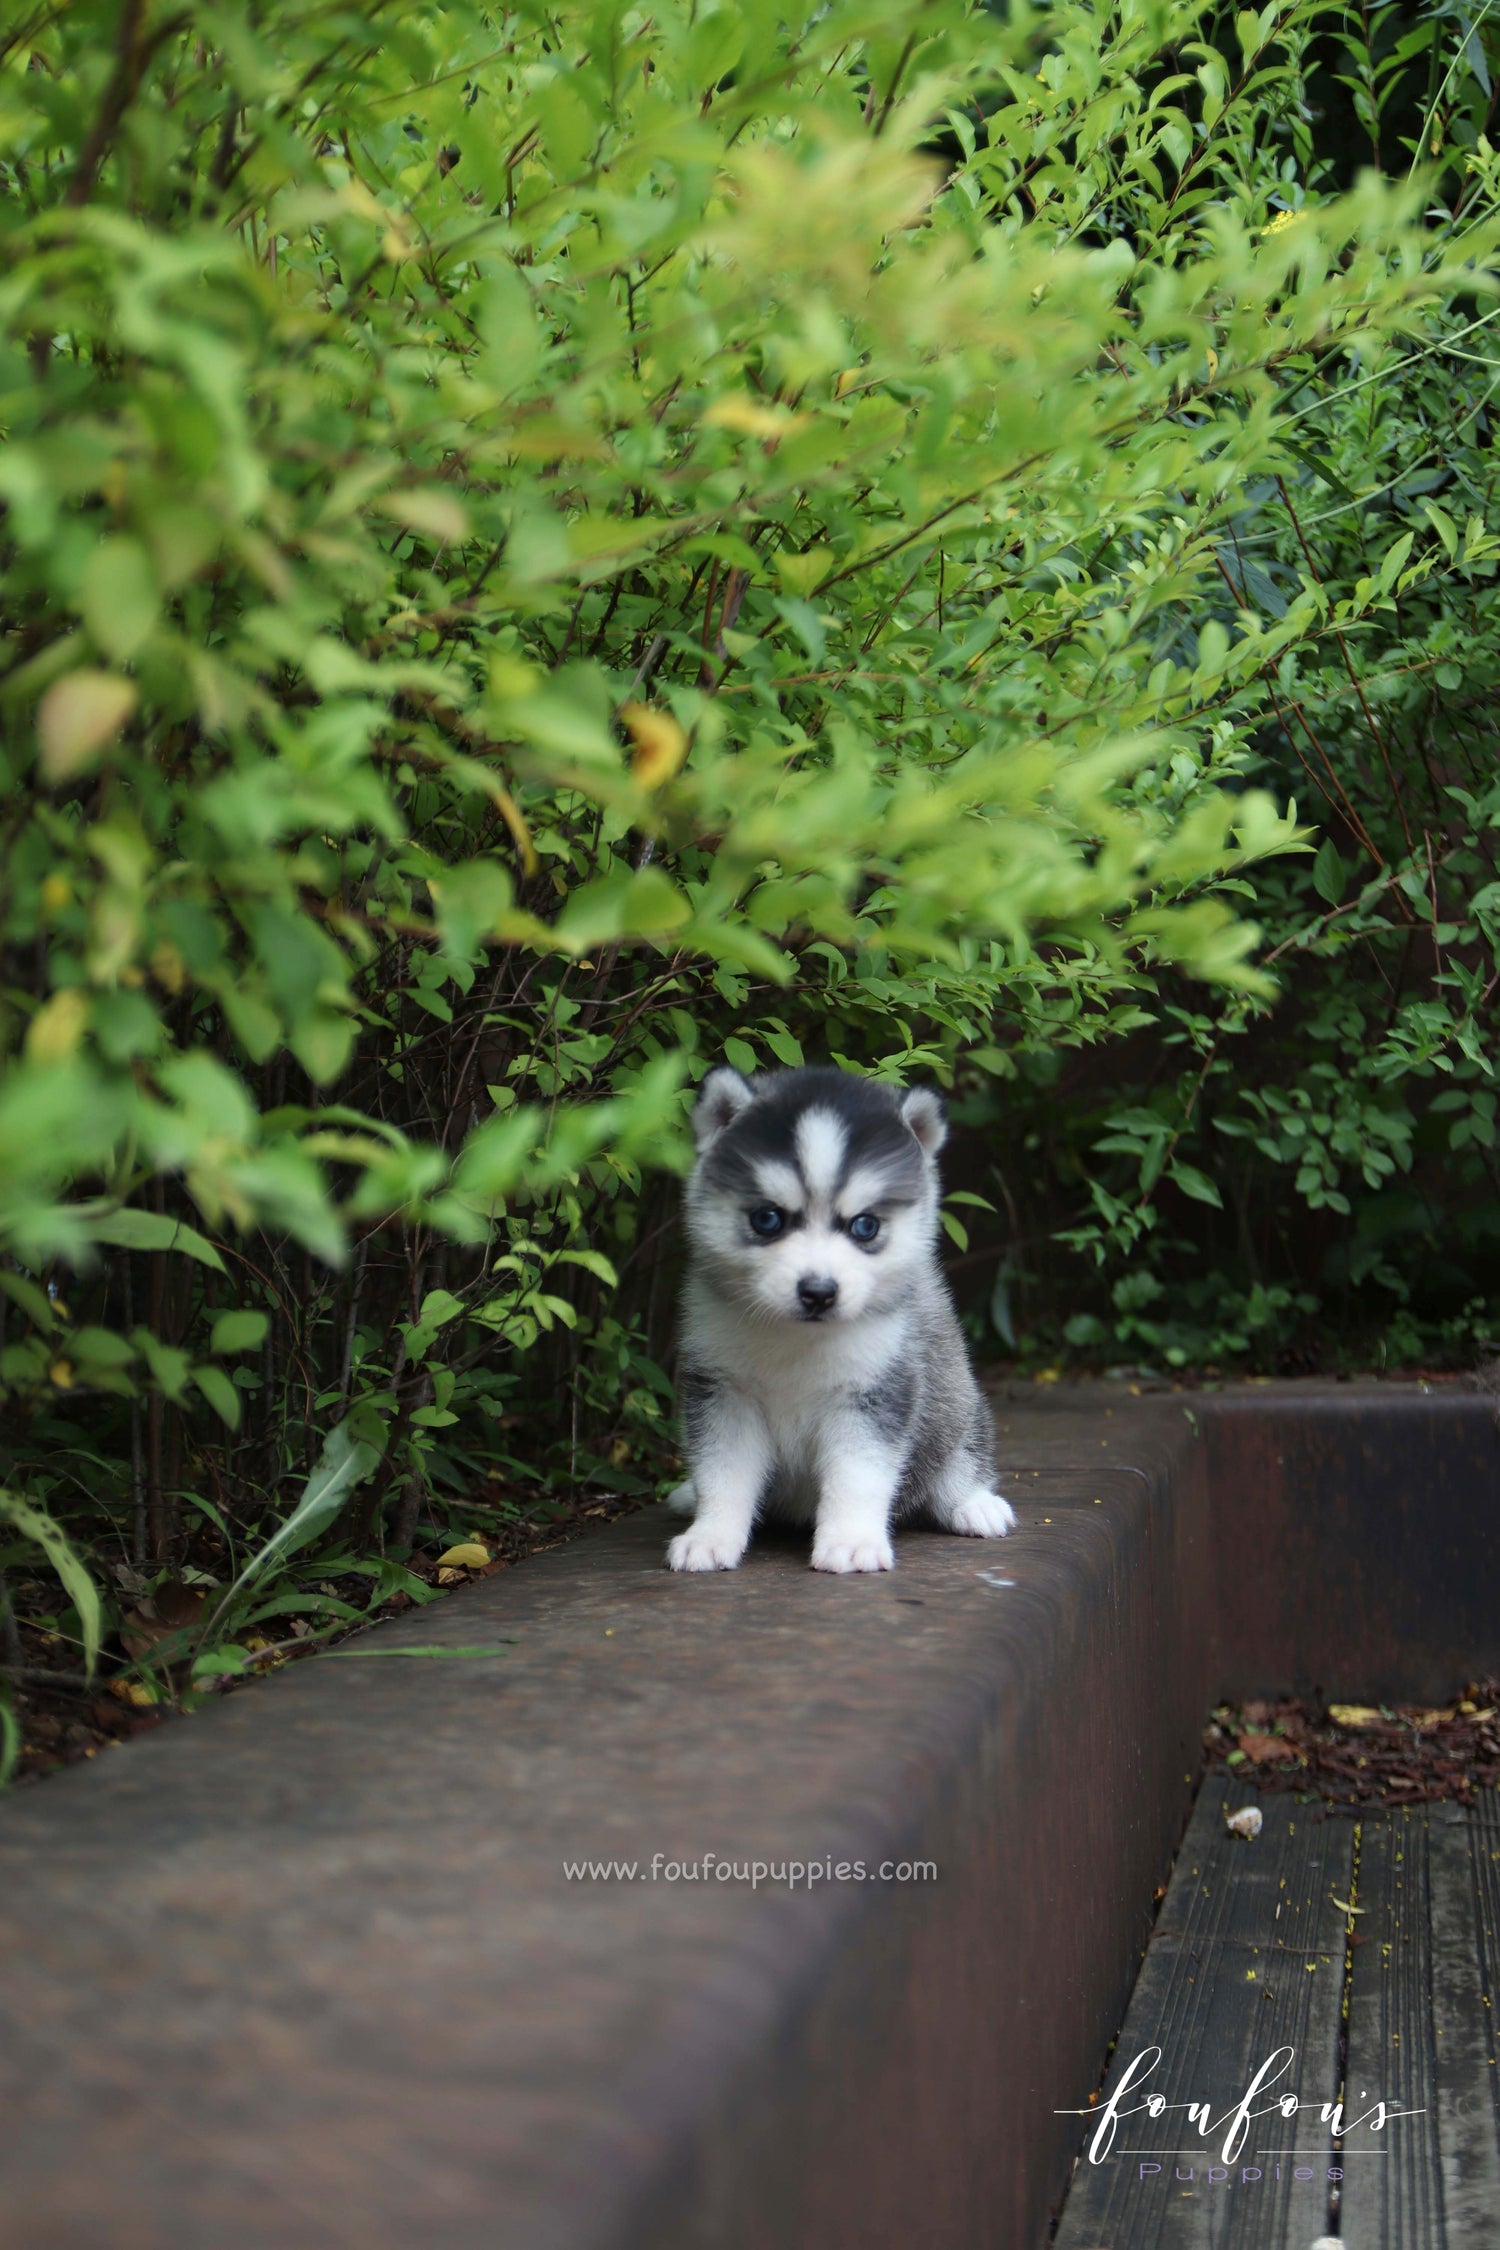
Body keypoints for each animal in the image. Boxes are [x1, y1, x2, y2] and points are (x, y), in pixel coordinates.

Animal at [670, 1062, 1020, 1575]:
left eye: (865, 1226)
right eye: (767, 1219)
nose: (818, 1292)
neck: (796, 1338)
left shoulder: (874, 1394)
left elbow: (858, 1476)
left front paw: (852, 1541)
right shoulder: (724, 1390)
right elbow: (723, 1470)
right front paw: (710, 1534)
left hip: (954, 1401)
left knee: (957, 1459)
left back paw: (973, 1502)